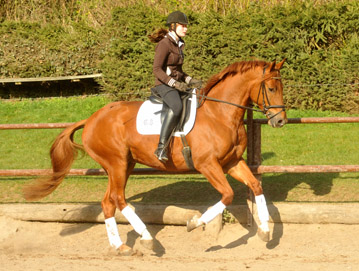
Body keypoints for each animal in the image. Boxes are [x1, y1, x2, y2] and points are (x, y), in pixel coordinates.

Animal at [23, 59, 288, 255]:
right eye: (271, 89)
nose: (280, 121)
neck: (219, 113)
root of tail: (91, 119)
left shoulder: (232, 162)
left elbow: (255, 186)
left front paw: (265, 231)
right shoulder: (208, 165)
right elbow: (228, 195)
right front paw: (195, 223)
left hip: (123, 165)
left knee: (108, 202)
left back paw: (119, 246)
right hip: (117, 163)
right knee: (119, 199)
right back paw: (147, 238)